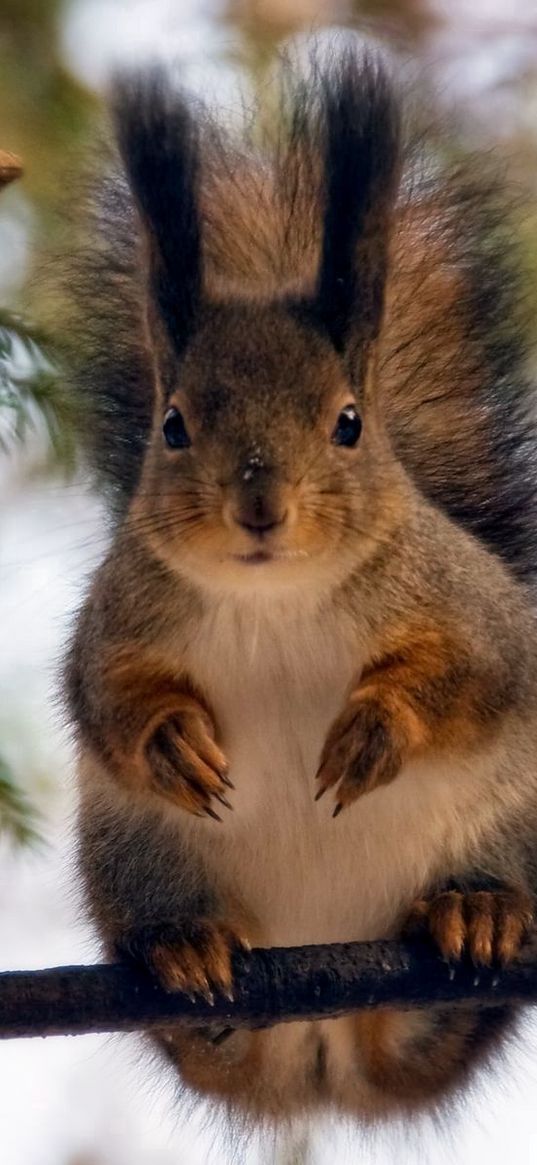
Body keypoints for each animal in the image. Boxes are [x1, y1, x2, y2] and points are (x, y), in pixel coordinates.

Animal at [56, 50, 537, 1123]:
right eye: (174, 425)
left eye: (348, 422)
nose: (259, 506)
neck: (272, 602)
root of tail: (323, 1048)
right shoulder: (118, 616)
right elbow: (105, 699)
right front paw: (172, 740)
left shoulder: (466, 605)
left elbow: (471, 673)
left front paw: (375, 728)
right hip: (135, 856)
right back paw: (189, 951)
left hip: (521, 820)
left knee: (446, 1016)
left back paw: (477, 910)